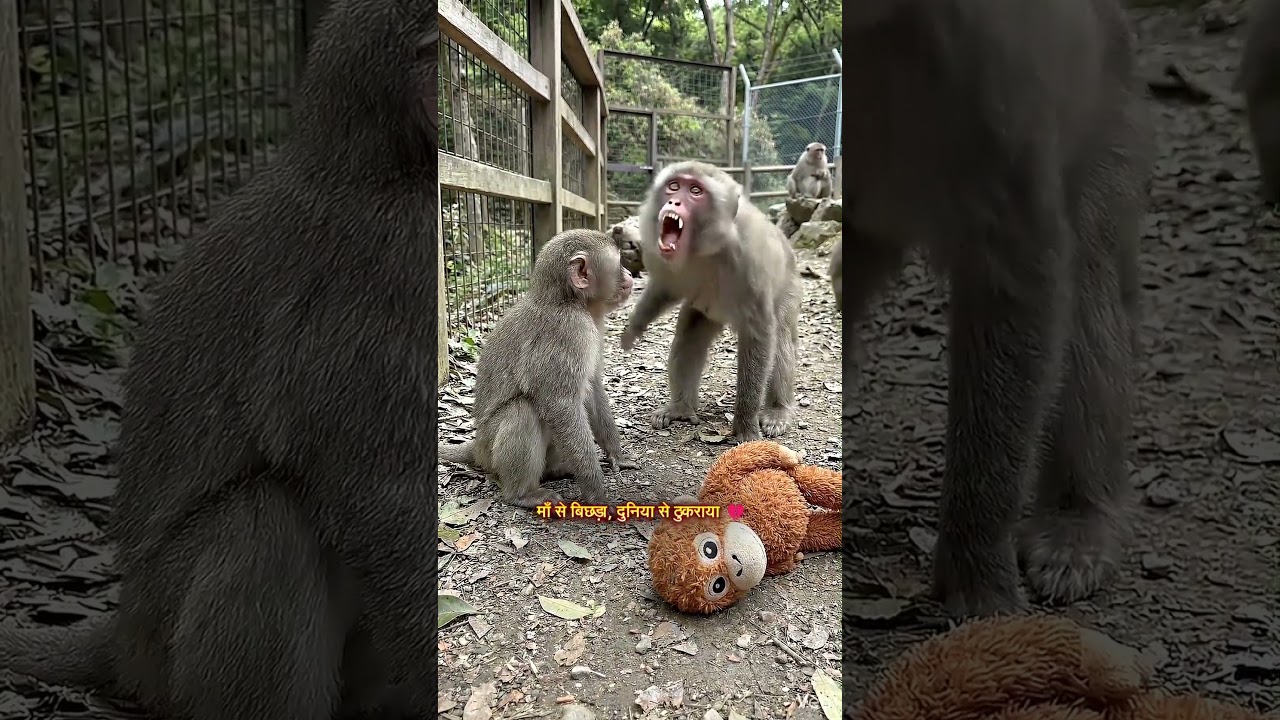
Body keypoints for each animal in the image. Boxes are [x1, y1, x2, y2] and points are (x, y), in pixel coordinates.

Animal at [0, 2, 440, 718]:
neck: (382, 158)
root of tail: (124, 637)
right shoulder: (393, 260)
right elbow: (379, 487)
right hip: (163, 641)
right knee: (266, 526)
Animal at [438, 229, 635, 509]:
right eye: (618, 264)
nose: (628, 273)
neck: (568, 300)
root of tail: (477, 447)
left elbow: (592, 388)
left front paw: (617, 454)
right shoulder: (570, 330)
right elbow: (560, 404)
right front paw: (597, 494)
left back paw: (557, 470)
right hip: (490, 452)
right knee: (524, 410)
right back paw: (521, 494)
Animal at [621, 161, 803, 442]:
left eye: (695, 191)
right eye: (674, 186)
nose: (673, 201)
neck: (705, 248)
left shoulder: (752, 261)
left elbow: (759, 334)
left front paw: (745, 425)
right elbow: (665, 289)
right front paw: (634, 328)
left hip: (789, 289)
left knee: (781, 338)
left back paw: (777, 410)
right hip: (707, 310)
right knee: (690, 336)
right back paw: (680, 408)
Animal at [842, 0, 1152, 619]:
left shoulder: (986, 69)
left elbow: (1017, 273)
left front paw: (978, 572)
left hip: (1107, 111)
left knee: (1089, 292)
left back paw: (1077, 519)